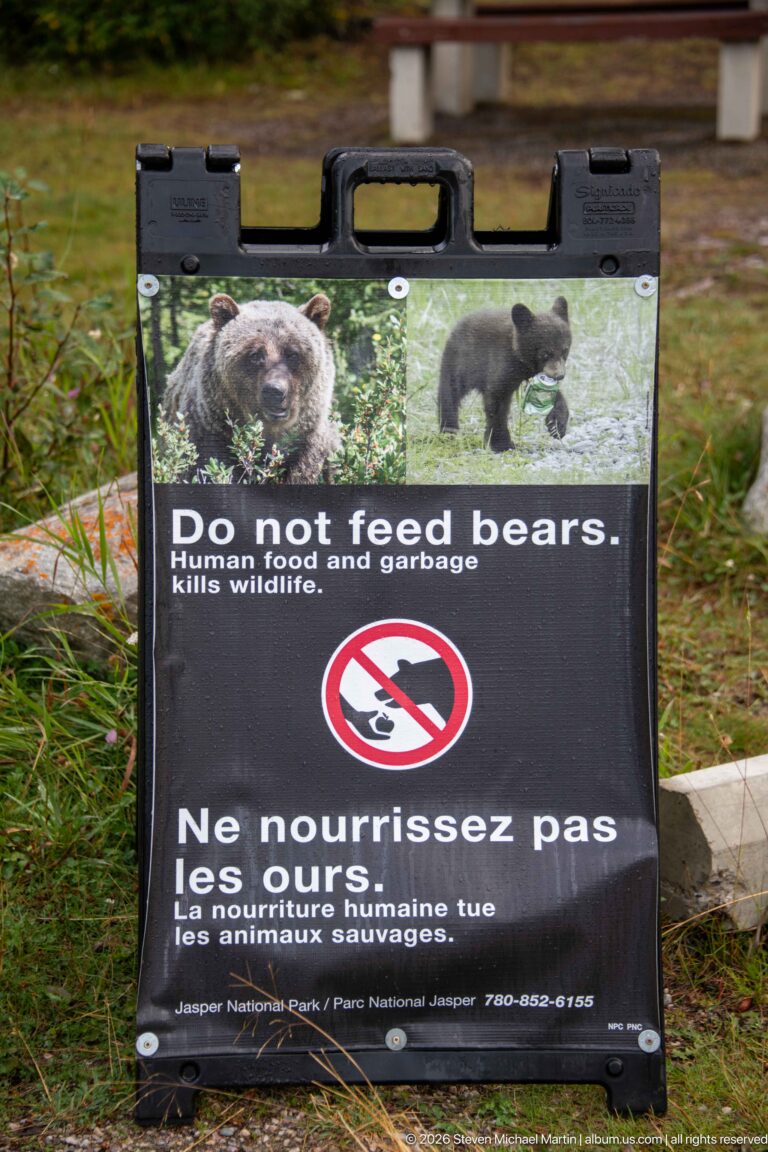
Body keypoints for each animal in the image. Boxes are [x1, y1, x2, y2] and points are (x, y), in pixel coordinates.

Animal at [161, 292, 340, 483]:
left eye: (292, 353)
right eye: (255, 354)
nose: (274, 391)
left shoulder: (308, 440)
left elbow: (304, 472)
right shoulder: (210, 431)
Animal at [438, 296, 572, 453]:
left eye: (565, 351)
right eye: (545, 353)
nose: (559, 376)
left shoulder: (531, 373)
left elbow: (552, 394)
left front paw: (557, 425)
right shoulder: (501, 363)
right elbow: (497, 400)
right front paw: (501, 443)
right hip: (460, 362)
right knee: (450, 393)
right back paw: (448, 430)